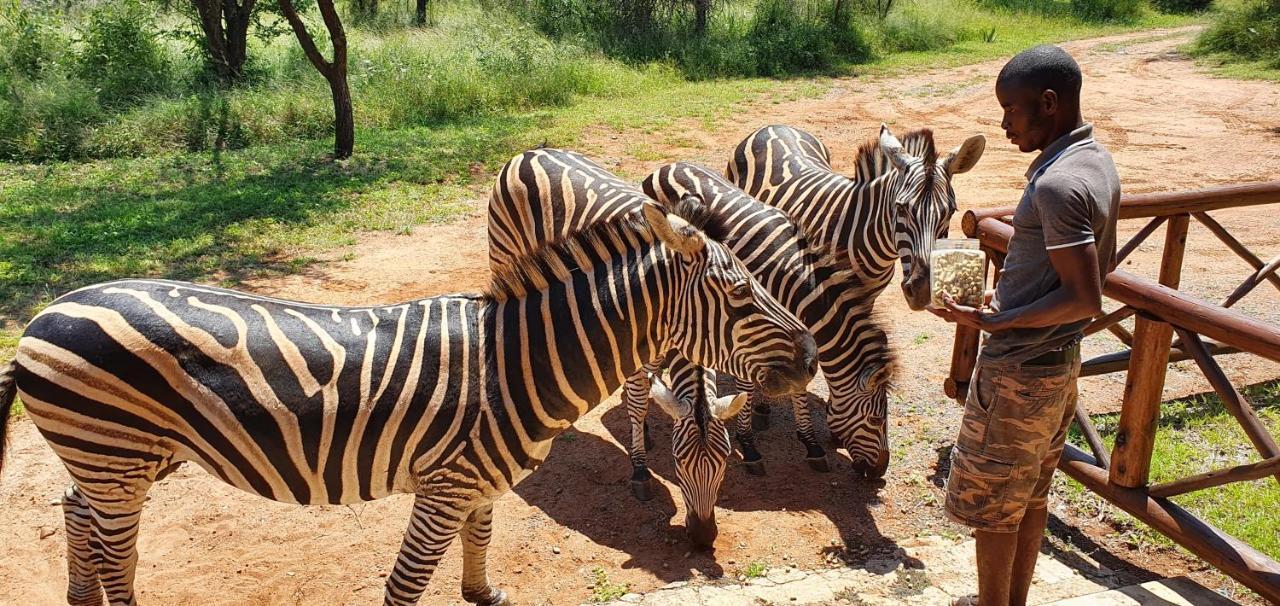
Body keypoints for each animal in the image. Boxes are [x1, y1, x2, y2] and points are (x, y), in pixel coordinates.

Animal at [0, 203, 814, 604]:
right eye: (740, 295)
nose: (809, 357)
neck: (515, 364)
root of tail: (42, 318)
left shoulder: (480, 481)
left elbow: (480, 544)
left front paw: (486, 594)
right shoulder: (445, 482)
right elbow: (408, 581)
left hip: (127, 455)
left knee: (75, 510)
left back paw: (78, 597)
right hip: (117, 453)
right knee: (114, 545)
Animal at [486, 147, 798, 548]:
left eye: (723, 463)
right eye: (678, 465)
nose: (702, 538)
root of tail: (532, 150)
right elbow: (637, 400)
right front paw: (640, 470)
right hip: (504, 255)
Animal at [640, 160, 901, 476]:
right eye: (876, 420)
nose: (879, 473)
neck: (798, 288)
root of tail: (669, 165)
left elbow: (796, 383)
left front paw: (809, 442)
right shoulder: (745, 332)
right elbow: (750, 387)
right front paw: (749, 444)